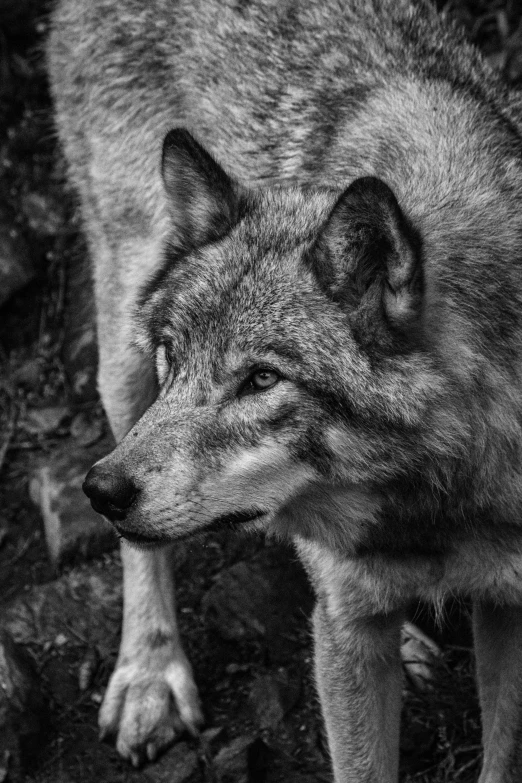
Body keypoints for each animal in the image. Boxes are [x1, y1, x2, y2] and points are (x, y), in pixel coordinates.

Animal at [48, 0, 522, 780]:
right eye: (175, 356)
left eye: (262, 379)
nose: (101, 492)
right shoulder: (348, 631)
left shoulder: (511, 605)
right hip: (121, 346)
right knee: (144, 550)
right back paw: (149, 679)